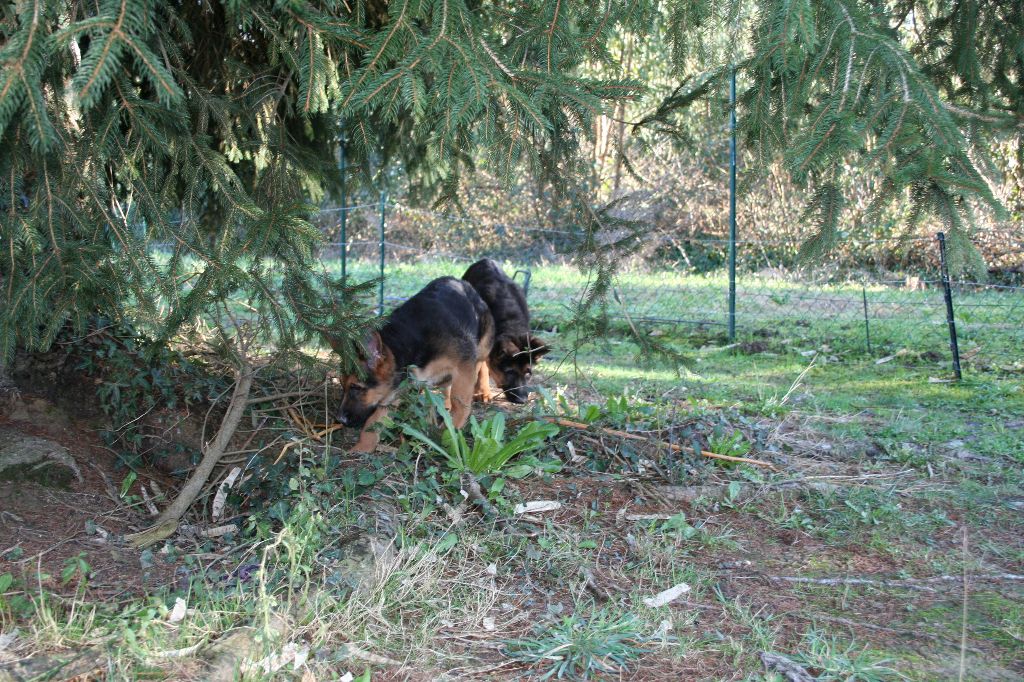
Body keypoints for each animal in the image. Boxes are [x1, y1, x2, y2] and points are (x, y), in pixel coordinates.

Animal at [333, 276, 493, 450]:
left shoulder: (464, 365)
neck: (408, 343)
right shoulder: (397, 388)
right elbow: (375, 420)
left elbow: (460, 402)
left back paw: (483, 391)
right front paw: (363, 447)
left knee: (482, 364)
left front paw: (449, 433)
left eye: (356, 387)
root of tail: (460, 281)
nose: (339, 420)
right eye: (342, 385)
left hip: (482, 346)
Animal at [460, 258, 548, 401]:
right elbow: (482, 368)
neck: (510, 323)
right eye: (509, 372)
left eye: (528, 373)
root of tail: (485, 260)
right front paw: (483, 391)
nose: (522, 400)